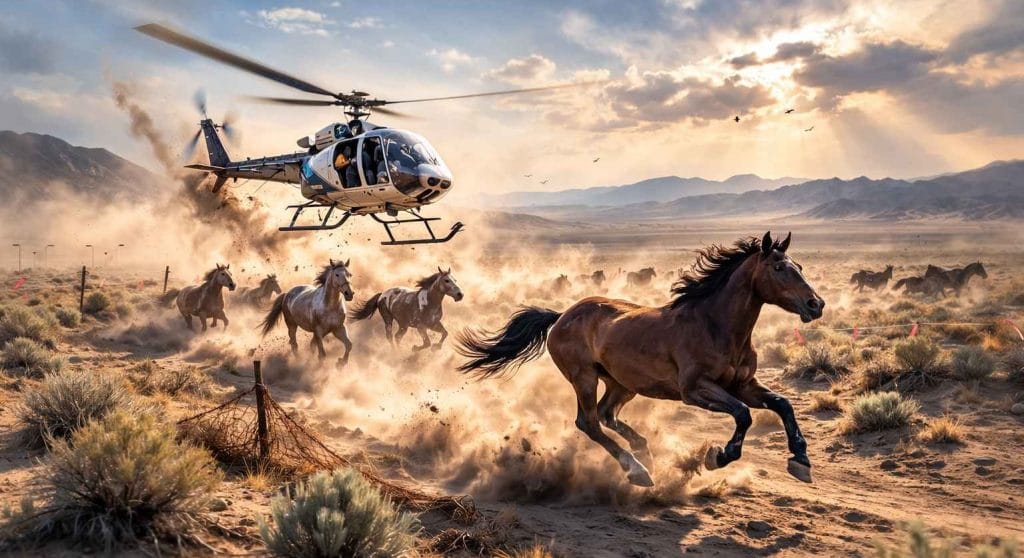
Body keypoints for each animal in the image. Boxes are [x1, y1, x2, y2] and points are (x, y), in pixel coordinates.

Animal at [456, 232, 824, 487]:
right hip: (584, 378)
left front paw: (801, 460)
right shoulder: (695, 390)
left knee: (607, 415)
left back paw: (643, 451)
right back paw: (638, 469)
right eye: (779, 268)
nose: (815, 304)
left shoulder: (744, 384)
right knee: (589, 422)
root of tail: (562, 316)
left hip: (622, 383)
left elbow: (782, 404)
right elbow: (743, 414)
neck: (715, 325)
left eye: (801, 267)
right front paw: (718, 456)